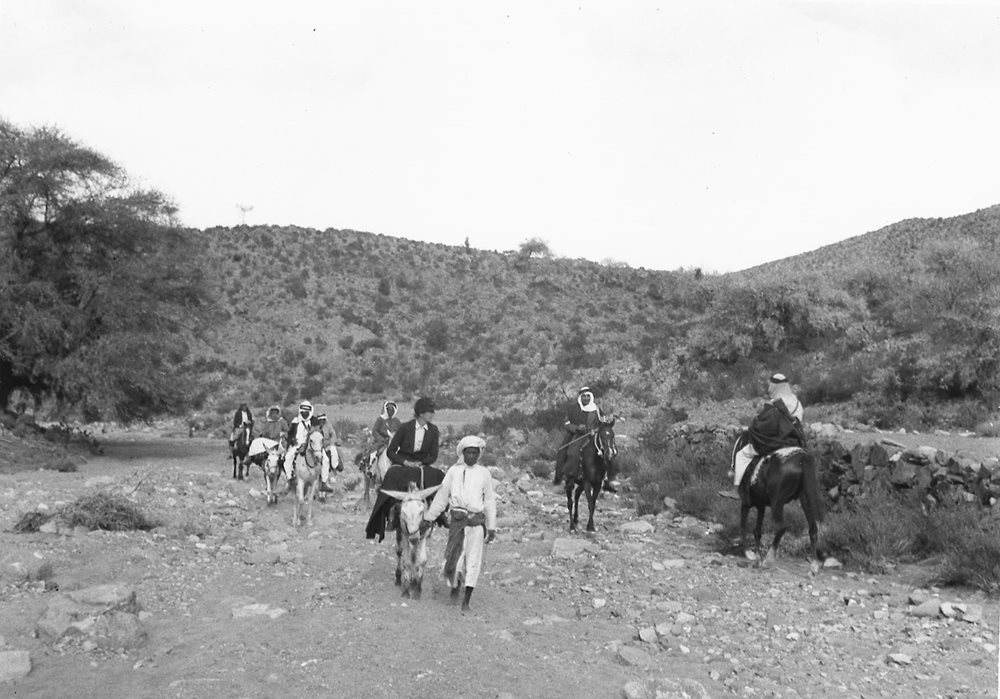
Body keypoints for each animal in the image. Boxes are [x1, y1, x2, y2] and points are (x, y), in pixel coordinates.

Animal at [736, 438, 828, 576]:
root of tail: (803, 458)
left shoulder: (746, 503)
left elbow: (743, 526)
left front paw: (750, 554)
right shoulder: (761, 506)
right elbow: (757, 531)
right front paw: (757, 560)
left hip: (777, 502)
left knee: (782, 526)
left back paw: (769, 559)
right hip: (805, 498)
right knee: (813, 529)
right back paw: (813, 568)